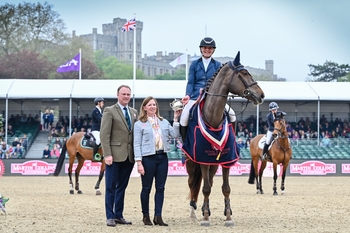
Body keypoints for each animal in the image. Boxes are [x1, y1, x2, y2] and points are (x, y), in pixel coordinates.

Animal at [185, 51, 264, 226]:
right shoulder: (203, 159)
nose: (261, 95)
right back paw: (193, 212)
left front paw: (228, 216)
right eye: (244, 73)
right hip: (191, 161)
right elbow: (205, 188)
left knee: (209, 181)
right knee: (193, 183)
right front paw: (205, 218)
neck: (213, 119)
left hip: (214, 163)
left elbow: (225, 188)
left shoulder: (227, 158)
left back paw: (204, 209)